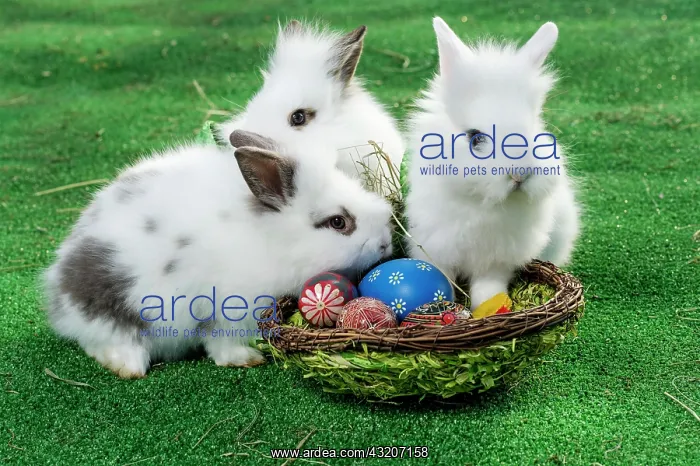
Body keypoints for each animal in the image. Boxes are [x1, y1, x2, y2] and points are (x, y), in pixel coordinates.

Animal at [42, 130, 394, 378]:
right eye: (338, 222)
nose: (386, 243)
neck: (273, 239)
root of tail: (58, 293)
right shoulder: (230, 308)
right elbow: (222, 342)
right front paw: (246, 359)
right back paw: (128, 366)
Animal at [403, 18, 580, 310]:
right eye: (476, 138)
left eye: (534, 129)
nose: (520, 175)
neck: (483, 204)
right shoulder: (435, 246)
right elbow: (441, 277)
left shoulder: (499, 258)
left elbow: (489, 286)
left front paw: (487, 306)